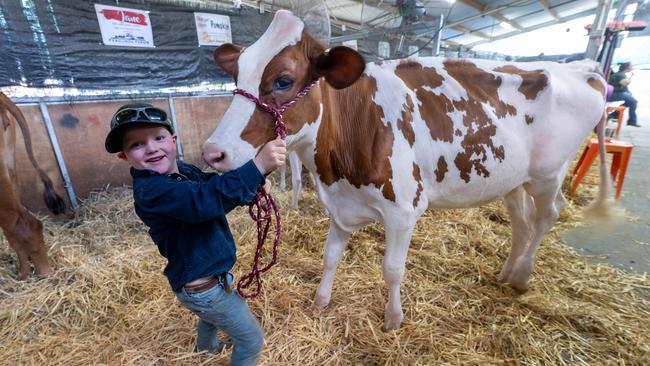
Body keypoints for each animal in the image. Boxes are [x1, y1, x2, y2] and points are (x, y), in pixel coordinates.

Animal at [202, 10, 608, 330]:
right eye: (237, 75)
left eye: (283, 80)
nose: (212, 152)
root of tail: (580, 68)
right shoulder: (340, 204)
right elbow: (330, 256)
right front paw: (320, 301)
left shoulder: (403, 210)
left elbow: (392, 269)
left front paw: (393, 319)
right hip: (513, 180)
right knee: (522, 223)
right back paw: (507, 272)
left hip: (548, 174)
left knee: (547, 216)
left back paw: (522, 276)